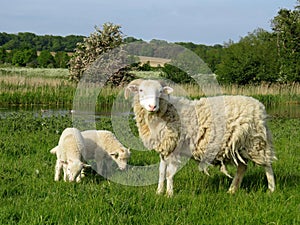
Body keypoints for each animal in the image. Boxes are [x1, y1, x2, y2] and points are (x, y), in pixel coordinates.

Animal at [124, 79, 276, 197]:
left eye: (160, 92)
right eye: (141, 90)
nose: (152, 106)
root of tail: (259, 106)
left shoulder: (174, 149)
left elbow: (168, 174)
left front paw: (169, 194)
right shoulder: (165, 149)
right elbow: (161, 172)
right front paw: (159, 192)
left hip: (255, 142)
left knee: (267, 165)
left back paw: (271, 189)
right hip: (238, 145)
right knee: (242, 168)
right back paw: (232, 190)